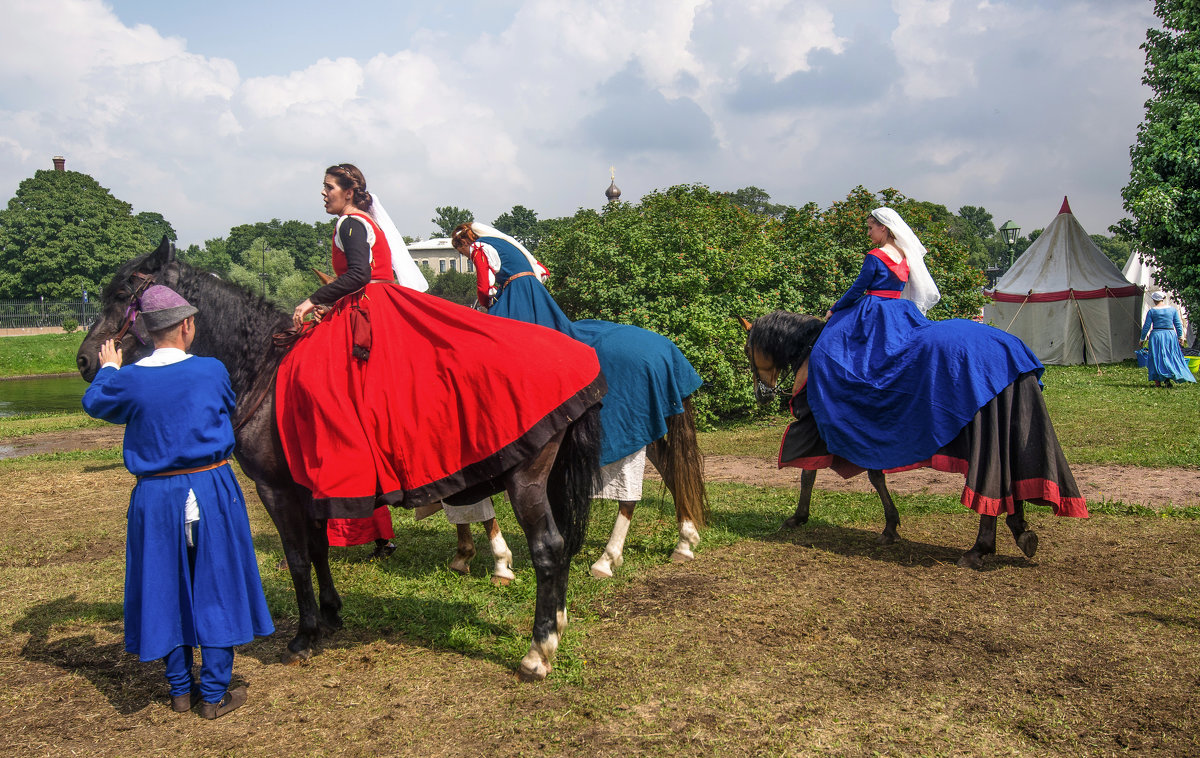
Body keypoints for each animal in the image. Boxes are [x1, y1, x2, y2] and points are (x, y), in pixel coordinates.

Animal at [75, 238, 600, 681]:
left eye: (122, 293)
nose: (84, 361)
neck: (263, 369)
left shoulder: (276, 489)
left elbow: (296, 557)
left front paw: (304, 635)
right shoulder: (309, 488)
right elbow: (317, 550)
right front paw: (329, 615)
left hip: (525, 479)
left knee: (548, 549)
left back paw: (538, 651)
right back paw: (557, 621)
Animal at [739, 311, 1089, 566]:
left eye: (746, 349)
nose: (761, 394)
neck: (810, 351)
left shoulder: (822, 426)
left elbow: (810, 473)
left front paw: (799, 517)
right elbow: (865, 475)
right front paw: (890, 526)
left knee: (990, 480)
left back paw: (979, 548)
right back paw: (1019, 531)